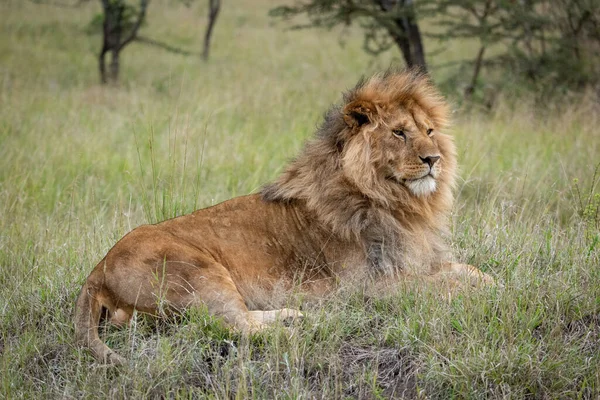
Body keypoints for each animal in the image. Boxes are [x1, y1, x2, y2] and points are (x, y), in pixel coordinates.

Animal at [74, 69, 492, 366]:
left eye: (430, 131)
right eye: (400, 133)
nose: (434, 159)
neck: (397, 203)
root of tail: (97, 271)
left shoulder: (411, 261)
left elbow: (466, 271)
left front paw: (489, 282)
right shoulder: (367, 286)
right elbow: (440, 286)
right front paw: (477, 293)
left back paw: (297, 316)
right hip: (198, 271)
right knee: (233, 326)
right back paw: (303, 331)